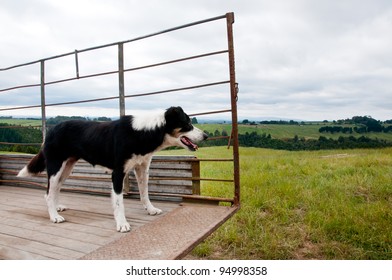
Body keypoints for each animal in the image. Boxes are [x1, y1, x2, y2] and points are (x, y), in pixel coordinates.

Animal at [17, 106, 208, 232]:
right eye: (187, 123)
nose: (206, 135)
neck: (143, 132)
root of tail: (52, 129)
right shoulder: (118, 173)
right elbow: (118, 202)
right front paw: (122, 223)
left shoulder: (142, 167)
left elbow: (144, 193)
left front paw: (150, 209)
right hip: (56, 166)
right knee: (48, 192)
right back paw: (54, 216)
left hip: (67, 168)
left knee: (54, 190)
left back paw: (57, 208)